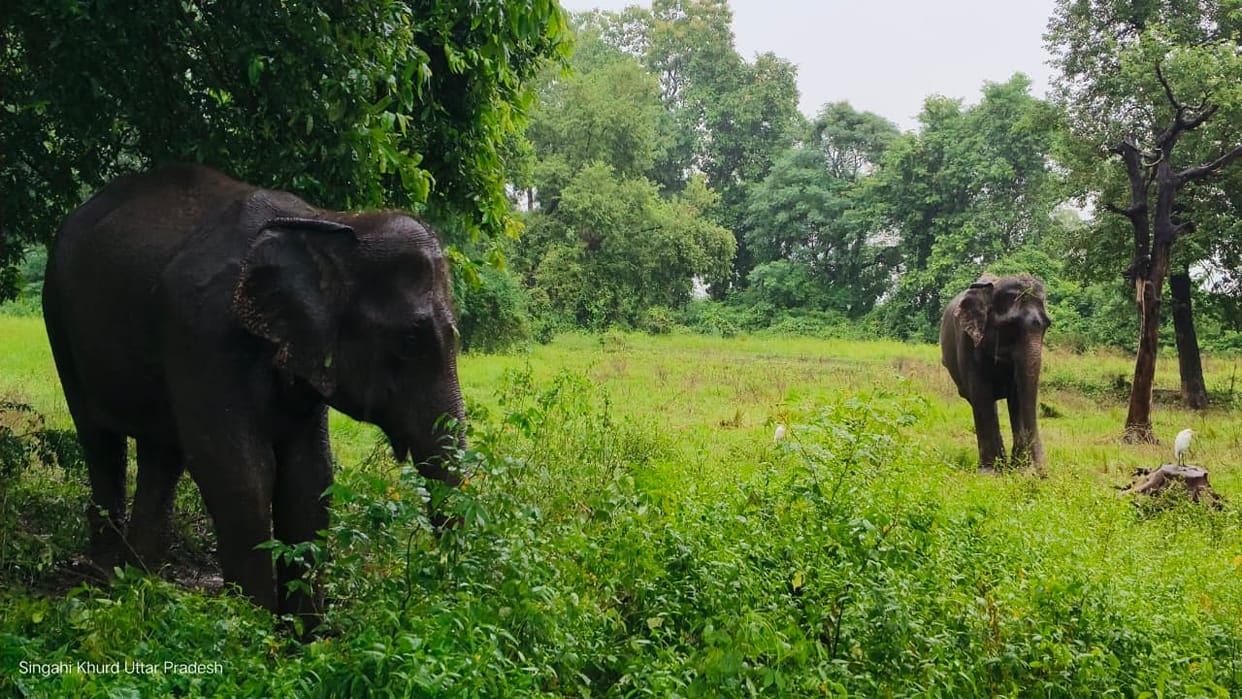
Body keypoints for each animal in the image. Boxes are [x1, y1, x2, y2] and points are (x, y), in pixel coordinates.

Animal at [42, 163, 465, 626]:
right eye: (409, 341)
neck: (327, 223)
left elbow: (310, 476)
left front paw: (304, 634)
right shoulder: (201, 332)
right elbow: (239, 472)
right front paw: (251, 627)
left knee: (161, 455)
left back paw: (137, 583)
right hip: (58, 312)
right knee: (99, 440)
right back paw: (103, 579)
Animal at [940, 273, 1050, 470]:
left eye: (1047, 326)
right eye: (1011, 326)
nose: (1042, 472)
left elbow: (1018, 395)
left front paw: (1020, 469)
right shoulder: (967, 340)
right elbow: (981, 392)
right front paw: (991, 471)